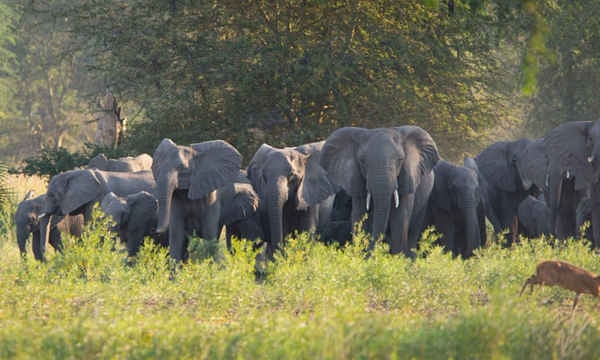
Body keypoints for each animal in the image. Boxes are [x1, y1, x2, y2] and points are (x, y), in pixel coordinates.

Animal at [322, 126, 438, 256]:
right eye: (362, 161)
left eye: (400, 160)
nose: (373, 253)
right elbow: (359, 215)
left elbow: (400, 218)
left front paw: (397, 259)